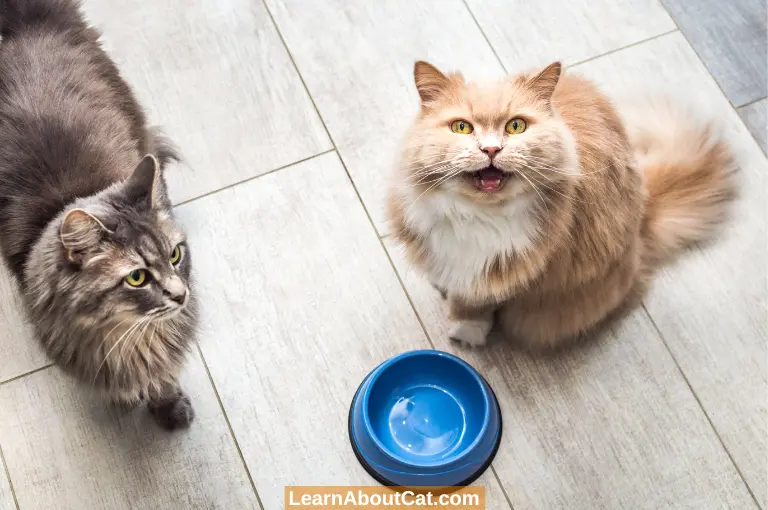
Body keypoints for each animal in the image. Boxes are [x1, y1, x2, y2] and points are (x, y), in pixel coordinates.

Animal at [0, 0, 198, 430]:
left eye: (175, 255)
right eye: (137, 277)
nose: (181, 294)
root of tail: (21, 21)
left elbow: (163, 374)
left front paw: (168, 404)